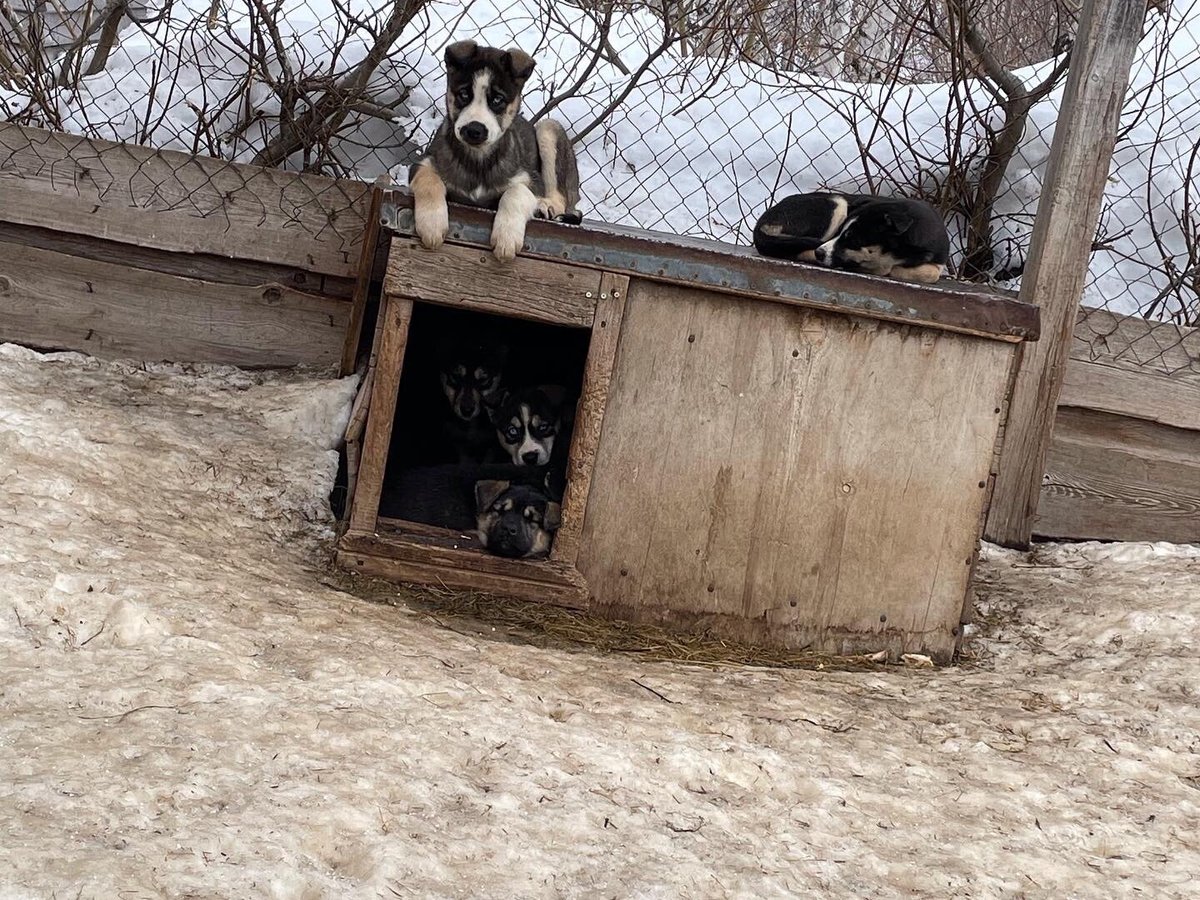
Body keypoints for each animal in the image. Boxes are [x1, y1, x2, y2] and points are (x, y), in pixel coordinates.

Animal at [410, 40, 583, 262]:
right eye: (464, 94)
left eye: (497, 100)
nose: (474, 130)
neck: (478, 160)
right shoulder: (423, 163)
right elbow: (429, 181)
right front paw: (432, 224)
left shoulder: (531, 180)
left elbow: (515, 192)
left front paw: (506, 238)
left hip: (548, 128)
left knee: (560, 198)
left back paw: (545, 206)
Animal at [753, 192, 950, 283]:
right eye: (841, 232)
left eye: (853, 240)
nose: (820, 253)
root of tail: (762, 221)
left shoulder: (938, 259)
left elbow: (931, 273)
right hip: (837, 202)